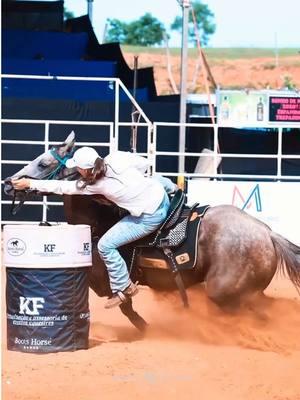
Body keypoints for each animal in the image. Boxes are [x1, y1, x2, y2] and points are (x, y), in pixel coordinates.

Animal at [4, 131, 300, 332]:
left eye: (43, 164)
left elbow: (126, 306)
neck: (102, 219)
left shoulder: (103, 279)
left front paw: (145, 330)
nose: (9, 183)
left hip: (225, 292)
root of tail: (268, 234)